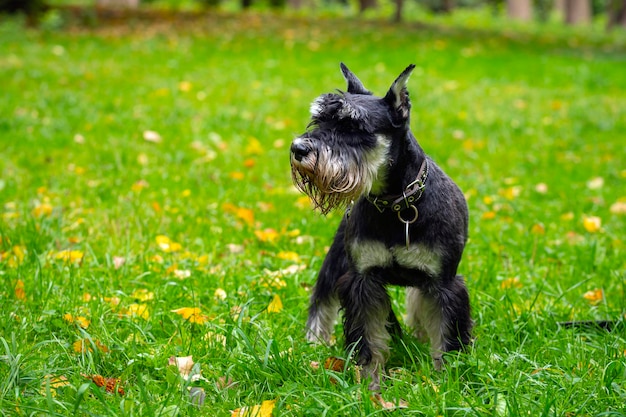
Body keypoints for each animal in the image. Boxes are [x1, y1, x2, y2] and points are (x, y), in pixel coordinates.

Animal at [290, 62, 470, 390]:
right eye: (318, 119)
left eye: (353, 127)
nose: (298, 148)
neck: (396, 206)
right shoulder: (363, 280)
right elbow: (369, 338)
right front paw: (370, 384)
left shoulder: (444, 283)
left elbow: (447, 336)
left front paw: (444, 381)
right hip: (336, 260)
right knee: (322, 302)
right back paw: (313, 343)